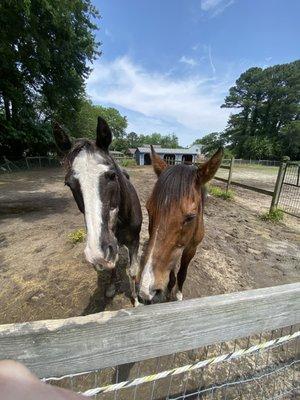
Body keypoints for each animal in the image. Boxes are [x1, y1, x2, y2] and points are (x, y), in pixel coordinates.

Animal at [53, 116, 142, 306]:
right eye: (68, 184)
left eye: (112, 175)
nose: (97, 253)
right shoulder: (113, 243)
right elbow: (113, 263)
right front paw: (111, 287)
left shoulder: (134, 241)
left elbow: (132, 271)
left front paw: (136, 301)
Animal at [138, 146, 223, 304]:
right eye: (148, 209)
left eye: (190, 217)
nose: (146, 291)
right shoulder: (174, 251)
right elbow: (172, 271)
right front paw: (169, 290)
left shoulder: (191, 249)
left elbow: (182, 272)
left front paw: (178, 295)